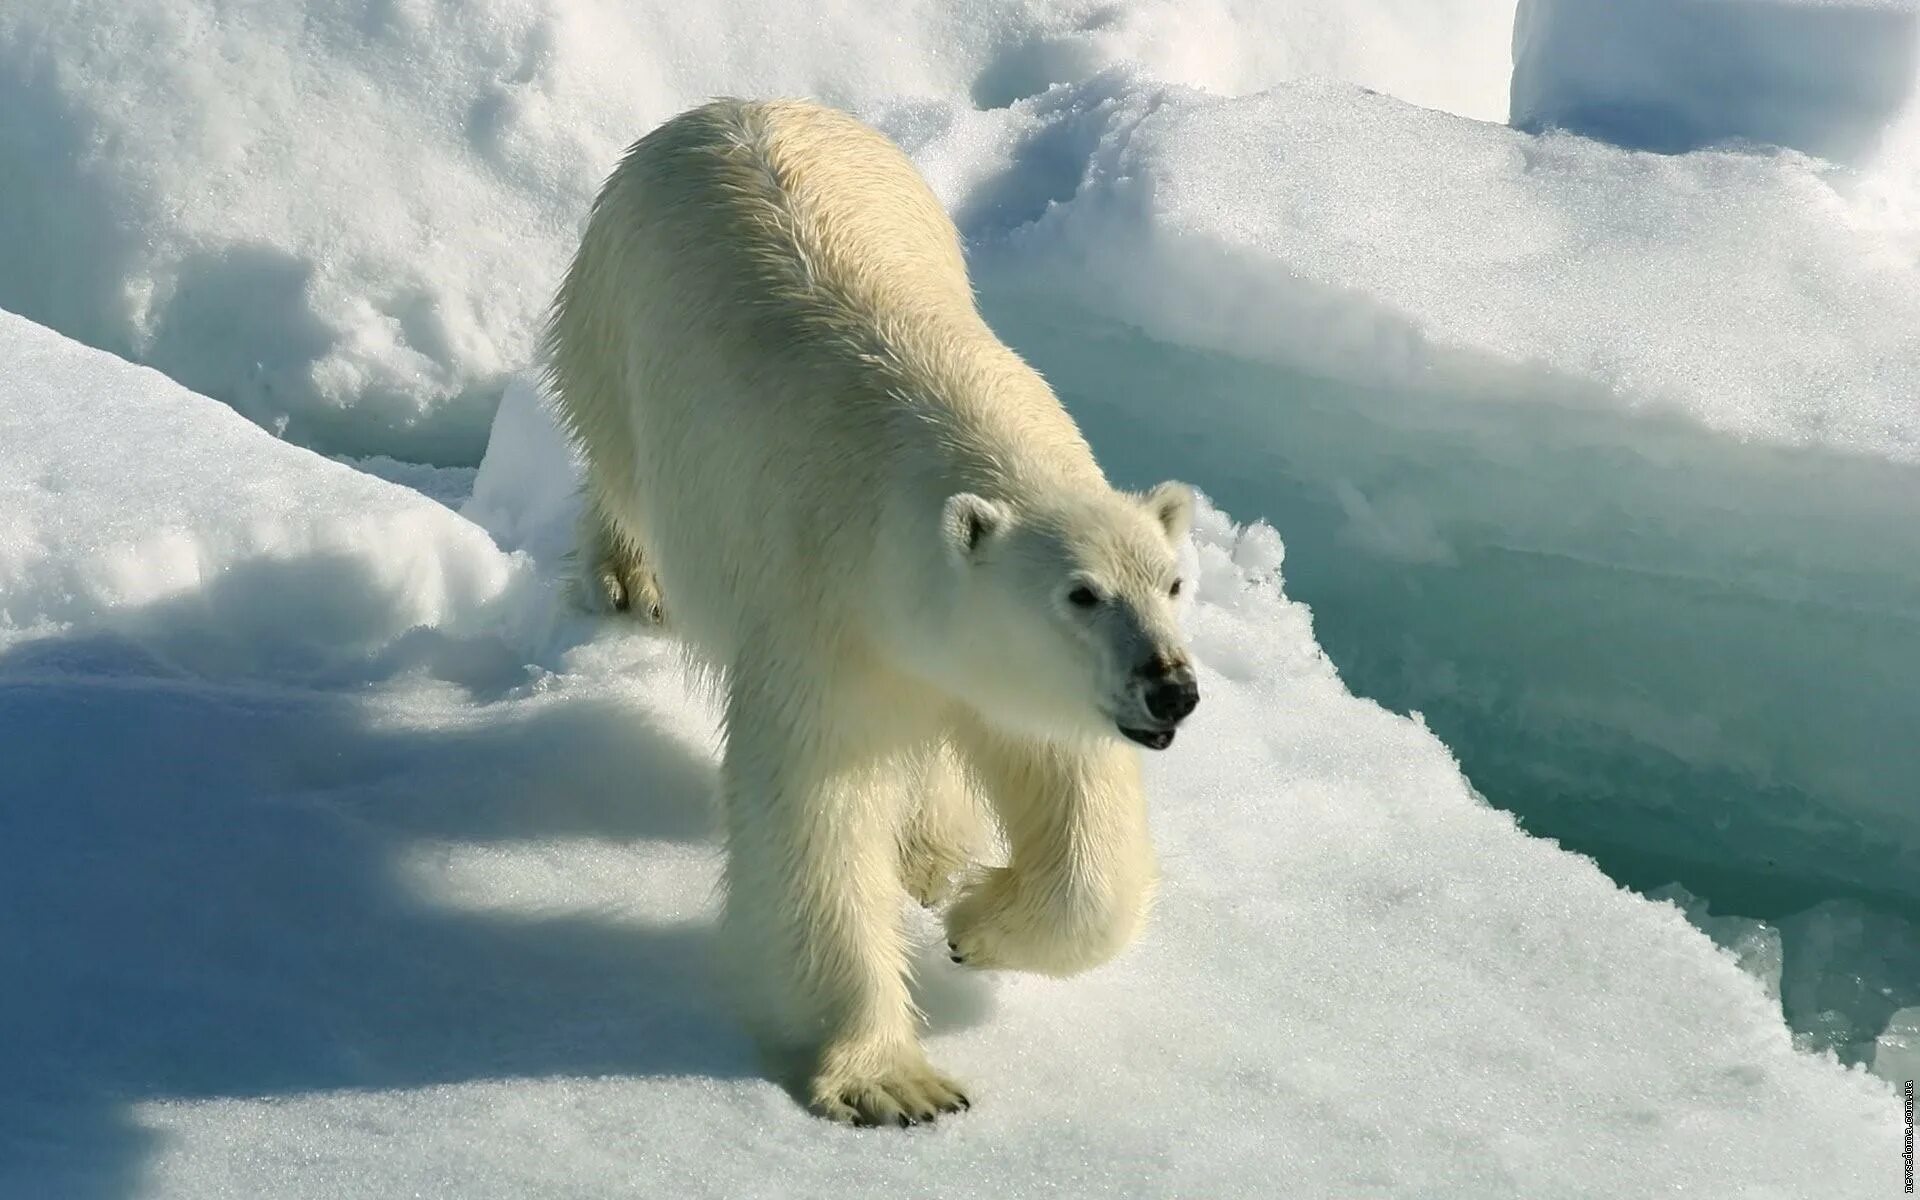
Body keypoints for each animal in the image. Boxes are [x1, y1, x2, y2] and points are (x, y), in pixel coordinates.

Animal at [545, 98, 1198, 1128]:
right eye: (1080, 593)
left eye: (1171, 583)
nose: (1170, 688)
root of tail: (732, 103)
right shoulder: (823, 610)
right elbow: (813, 806)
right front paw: (894, 1081)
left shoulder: (1013, 671)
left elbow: (1074, 801)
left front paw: (976, 919)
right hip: (612, 322)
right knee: (619, 464)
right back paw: (627, 575)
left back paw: (933, 856)